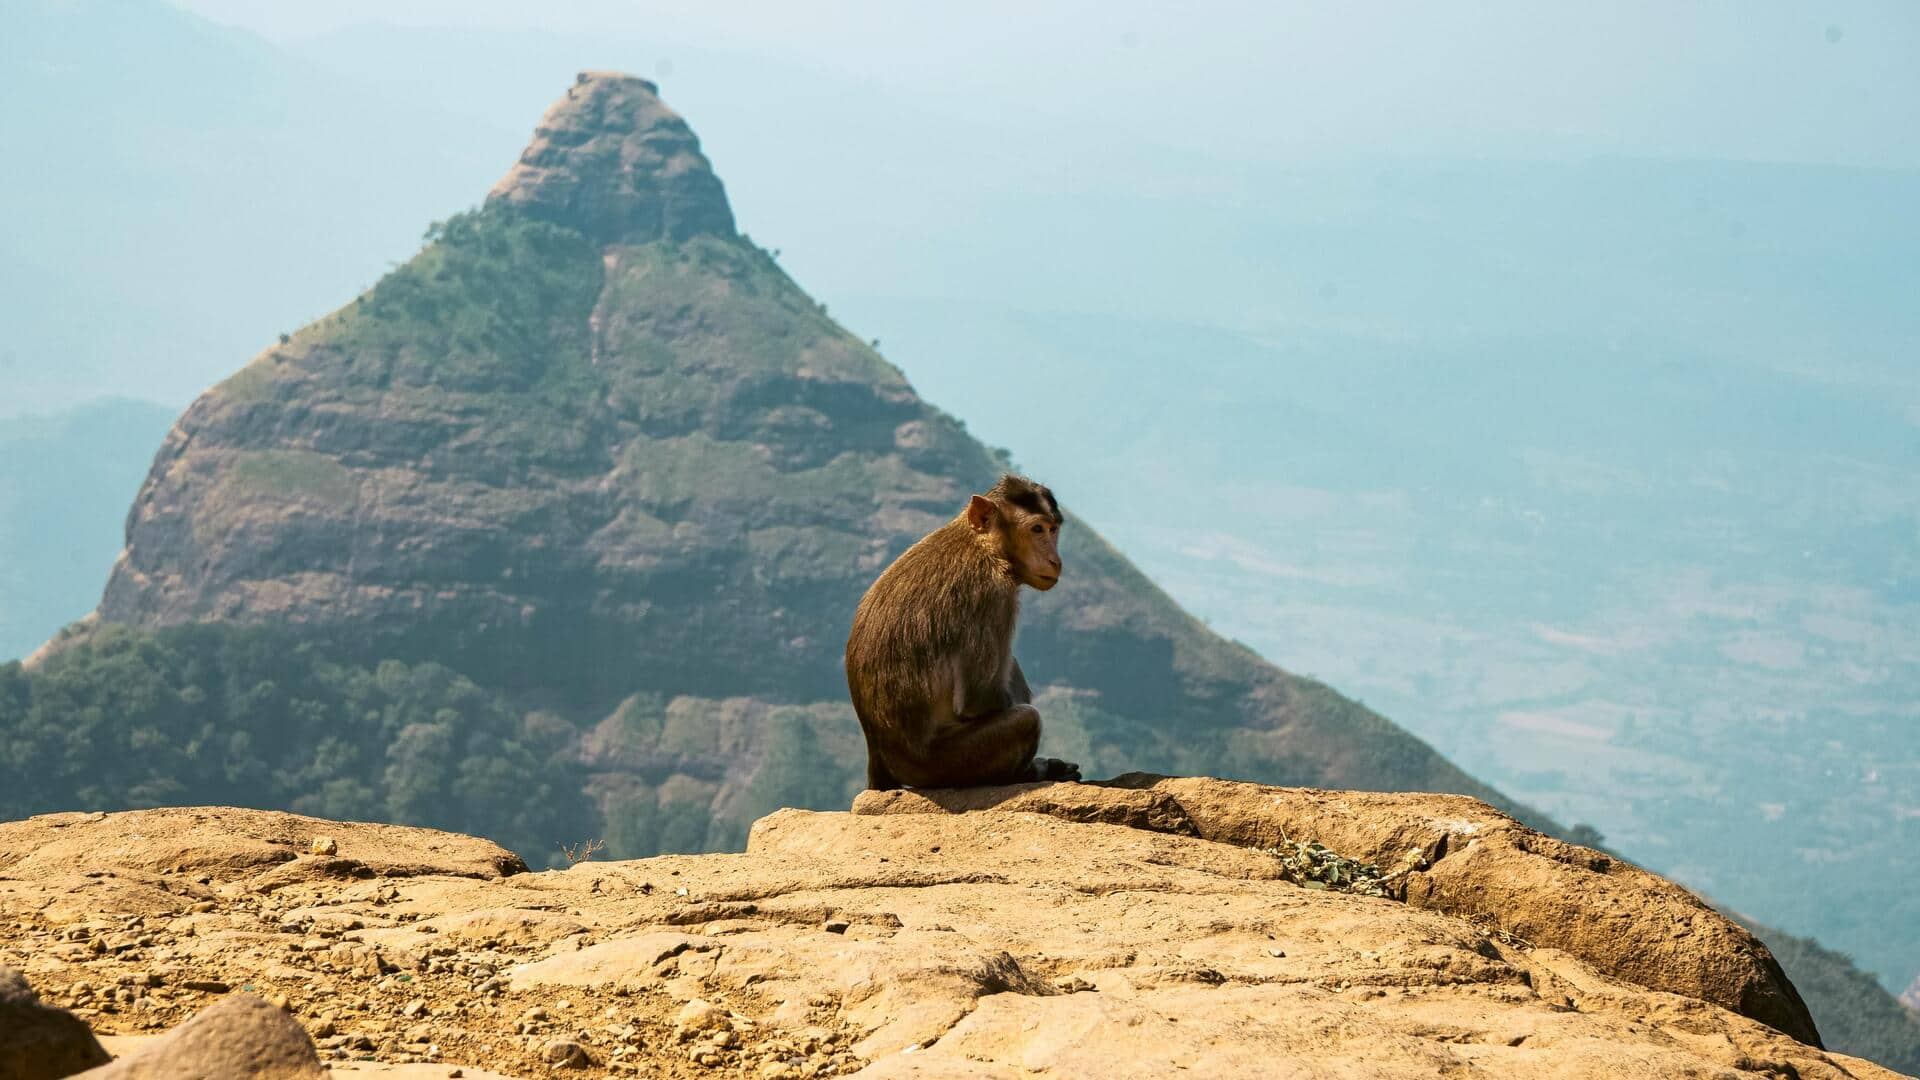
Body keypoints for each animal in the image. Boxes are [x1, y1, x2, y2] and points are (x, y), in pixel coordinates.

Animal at [844, 474, 1082, 787]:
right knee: (1026, 720)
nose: (1056, 560)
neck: (982, 545)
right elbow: (978, 700)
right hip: (943, 764)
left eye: (1053, 529)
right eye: (1037, 529)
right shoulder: (993, 596)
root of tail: (880, 753)